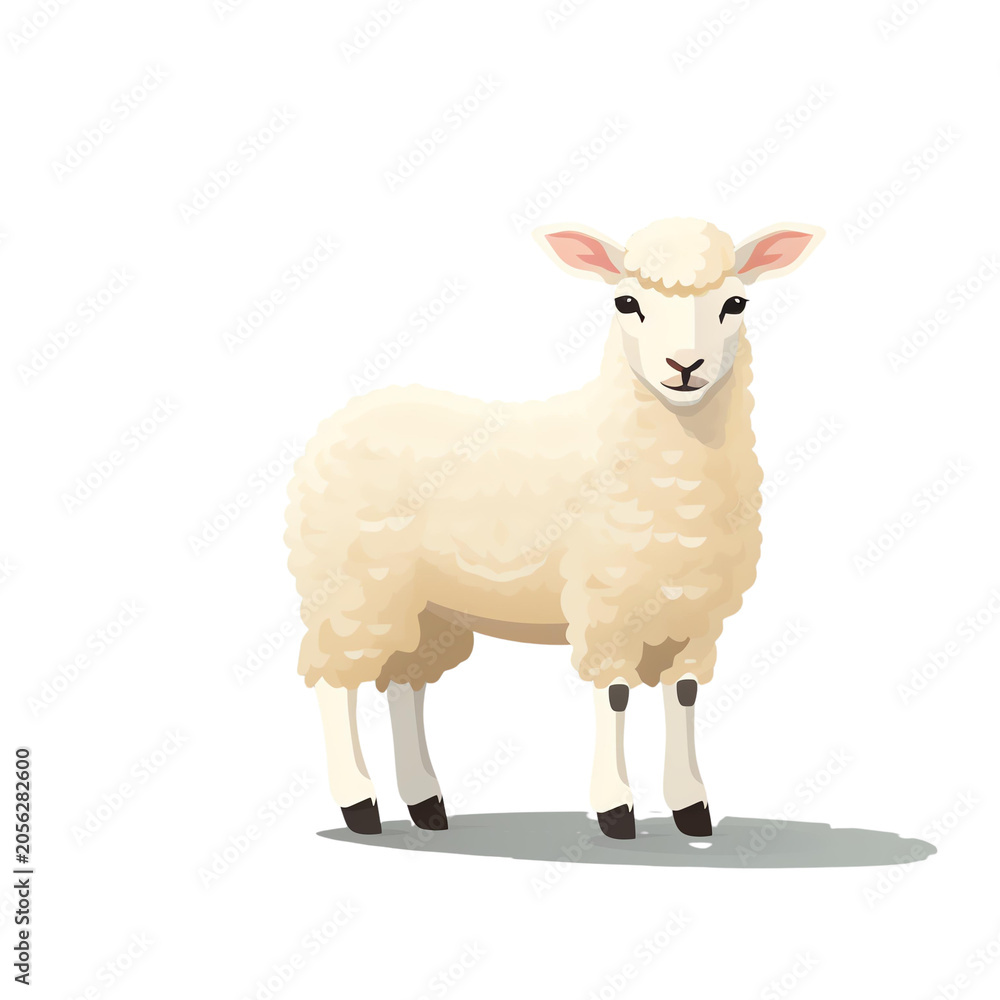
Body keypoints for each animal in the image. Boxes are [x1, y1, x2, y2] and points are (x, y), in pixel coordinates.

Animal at [285, 216, 823, 841]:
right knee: (335, 684)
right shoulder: (607, 603)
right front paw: (616, 811)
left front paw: (693, 810)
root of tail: (338, 419)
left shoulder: (696, 614)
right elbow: (615, 696)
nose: (684, 367)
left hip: (423, 606)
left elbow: (683, 695)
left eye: (735, 302)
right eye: (625, 301)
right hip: (350, 588)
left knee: (404, 683)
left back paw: (426, 805)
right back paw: (359, 805)